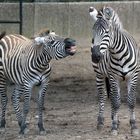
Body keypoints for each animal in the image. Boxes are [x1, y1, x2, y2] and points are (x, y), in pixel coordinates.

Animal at [90, 6, 139, 136]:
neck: (119, 54)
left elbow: (131, 101)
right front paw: (114, 127)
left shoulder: (133, 76)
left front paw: (134, 126)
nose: (95, 56)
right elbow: (116, 102)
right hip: (99, 74)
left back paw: (114, 118)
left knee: (112, 95)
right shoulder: (113, 77)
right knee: (103, 95)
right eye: (93, 33)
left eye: (106, 32)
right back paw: (101, 121)